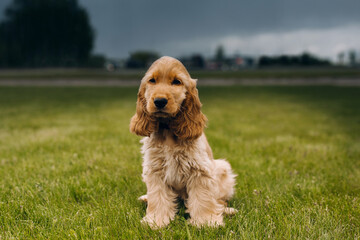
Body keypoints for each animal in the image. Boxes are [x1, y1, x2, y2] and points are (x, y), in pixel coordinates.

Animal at [129, 56, 236, 229]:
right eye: (152, 80)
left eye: (176, 82)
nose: (159, 101)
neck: (167, 129)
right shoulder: (155, 170)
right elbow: (157, 197)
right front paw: (156, 221)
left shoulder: (199, 170)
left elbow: (203, 198)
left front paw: (206, 222)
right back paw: (145, 198)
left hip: (222, 167)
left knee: (220, 200)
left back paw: (227, 210)